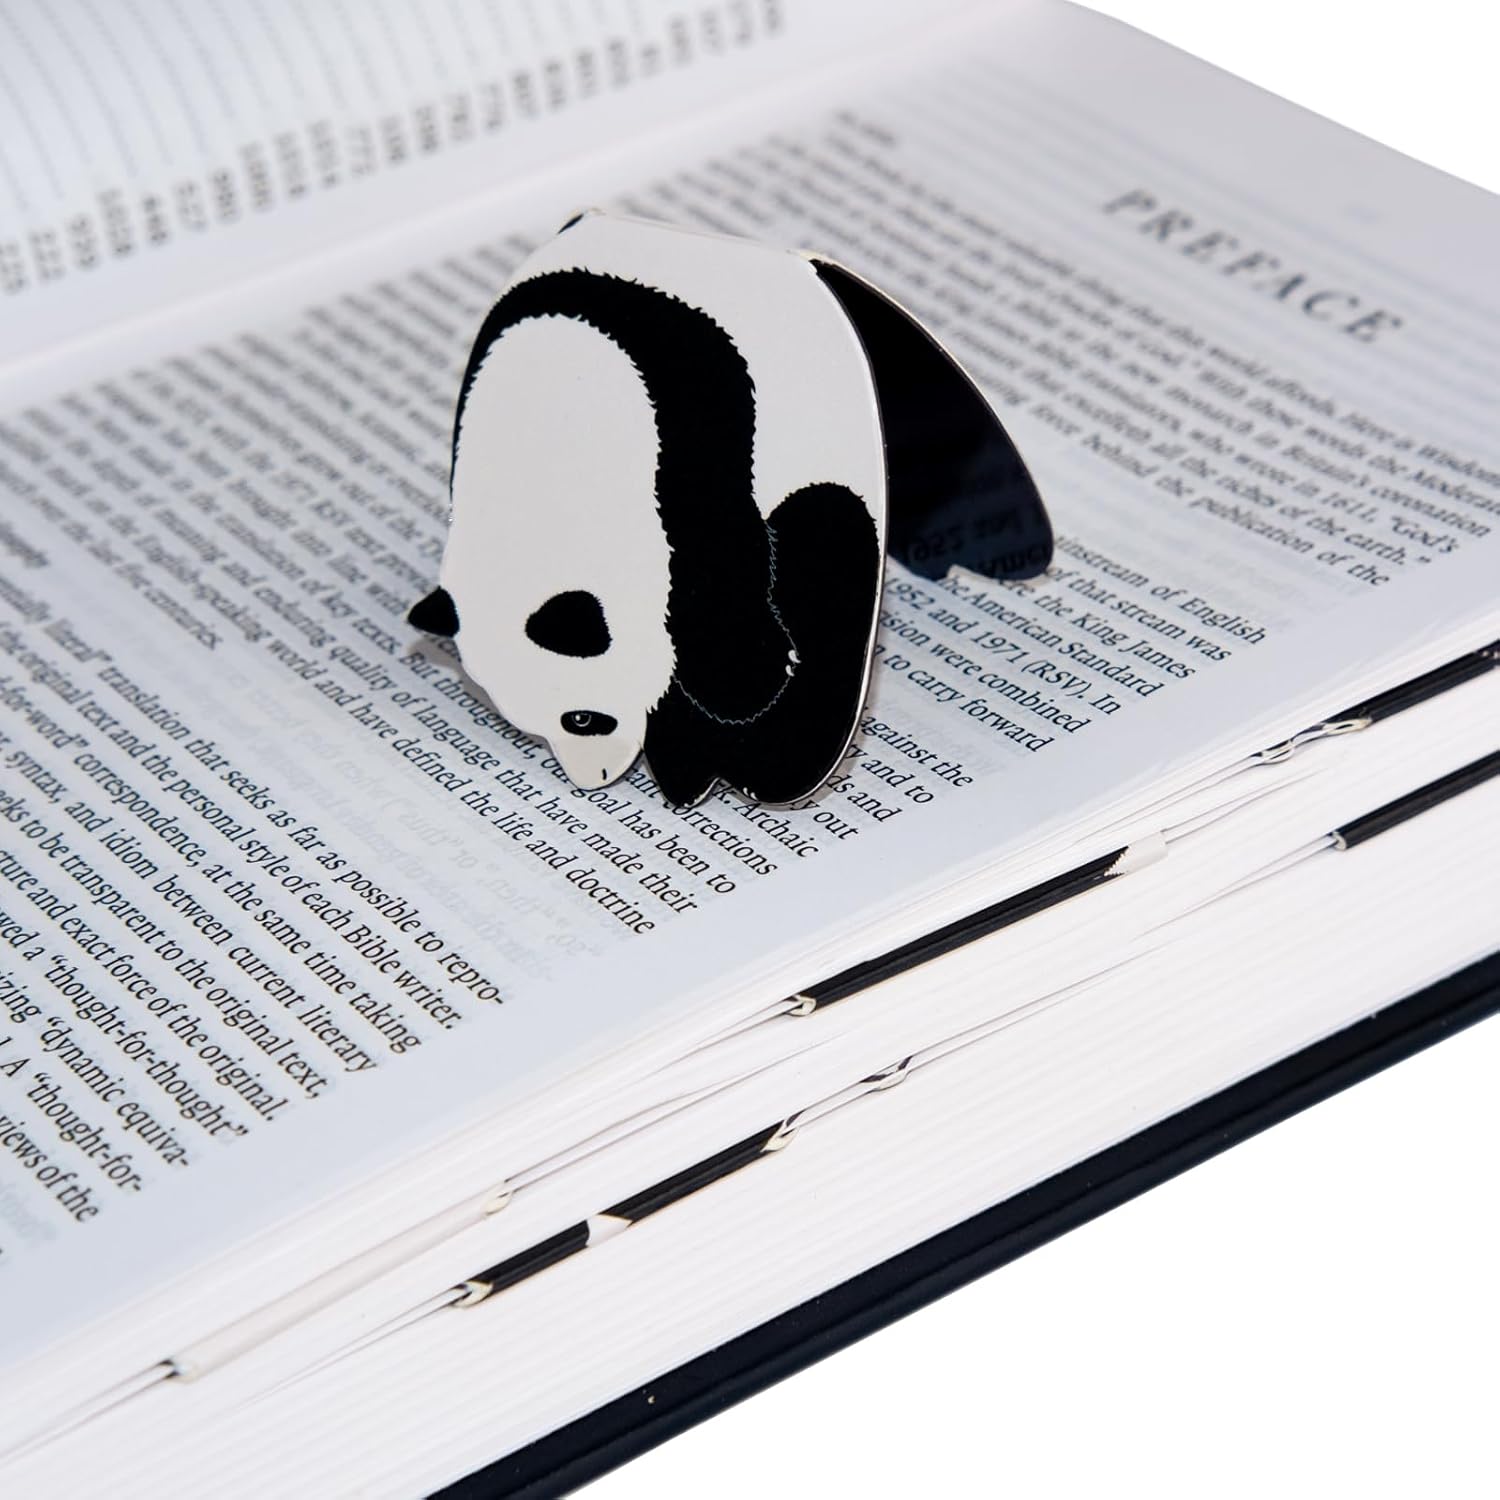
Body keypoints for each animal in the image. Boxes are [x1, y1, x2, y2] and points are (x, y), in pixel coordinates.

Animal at [410, 211, 1050, 808]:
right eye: (534, 719)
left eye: (583, 718)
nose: (593, 780)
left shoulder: (687, 431)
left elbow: (725, 584)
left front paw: (740, 692)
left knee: (831, 543)